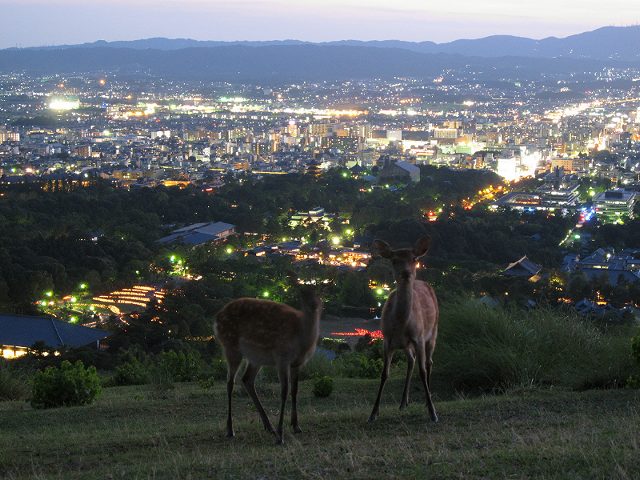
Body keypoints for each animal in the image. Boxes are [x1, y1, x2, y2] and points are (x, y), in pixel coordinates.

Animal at [215, 282, 322, 446]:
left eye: (320, 291)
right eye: (302, 293)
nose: (313, 304)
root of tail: (216, 319)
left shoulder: (297, 363)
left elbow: (295, 390)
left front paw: (296, 426)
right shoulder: (282, 358)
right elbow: (284, 392)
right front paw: (281, 435)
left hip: (255, 357)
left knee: (247, 379)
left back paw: (268, 426)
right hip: (230, 346)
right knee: (230, 382)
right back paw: (230, 430)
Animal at [368, 236, 438, 424]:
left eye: (414, 259)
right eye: (394, 260)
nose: (406, 273)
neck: (400, 324)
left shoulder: (419, 337)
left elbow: (422, 371)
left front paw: (433, 413)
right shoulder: (387, 340)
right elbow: (384, 374)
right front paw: (373, 413)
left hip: (433, 332)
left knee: (428, 363)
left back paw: (428, 400)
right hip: (406, 345)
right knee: (411, 361)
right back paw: (403, 402)